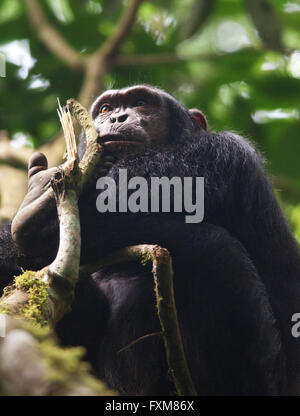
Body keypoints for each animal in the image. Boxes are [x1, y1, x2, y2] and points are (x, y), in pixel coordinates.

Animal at [0, 85, 298, 396]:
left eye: (141, 102)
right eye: (106, 109)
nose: (117, 117)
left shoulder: (222, 154)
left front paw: (42, 212)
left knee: (214, 247)